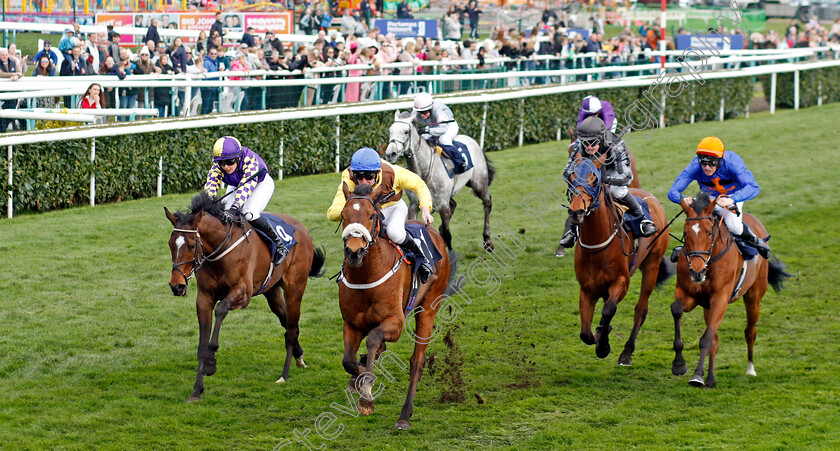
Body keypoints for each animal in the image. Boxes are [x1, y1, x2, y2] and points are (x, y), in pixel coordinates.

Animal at [164, 192, 324, 404]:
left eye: (191, 245)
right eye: (170, 244)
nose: (177, 286)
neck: (220, 249)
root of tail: (302, 228)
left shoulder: (243, 292)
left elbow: (221, 309)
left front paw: (211, 363)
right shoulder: (204, 298)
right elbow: (201, 345)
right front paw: (197, 390)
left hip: (295, 288)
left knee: (291, 328)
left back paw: (284, 374)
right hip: (272, 291)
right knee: (287, 321)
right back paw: (299, 357)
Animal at [338, 182, 452, 430]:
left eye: (371, 215)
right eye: (343, 215)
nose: (354, 252)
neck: (366, 275)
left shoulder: (396, 322)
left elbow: (373, 339)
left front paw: (366, 398)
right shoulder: (351, 323)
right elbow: (349, 361)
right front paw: (358, 377)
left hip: (428, 308)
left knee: (417, 362)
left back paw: (404, 415)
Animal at [386, 109, 496, 251]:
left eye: (406, 131)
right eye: (390, 130)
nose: (390, 153)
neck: (423, 171)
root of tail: (473, 141)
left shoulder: (443, 206)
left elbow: (448, 235)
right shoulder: (414, 206)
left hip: (479, 184)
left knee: (487, 202)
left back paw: (487, 240)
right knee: (453, 204)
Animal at [568, 157, 672, 366]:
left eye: (594, 179)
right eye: (572, 177)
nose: (577, 212)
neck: (597, 248)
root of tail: (651, 197)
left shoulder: (621, 282)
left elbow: (608, 310)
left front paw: (603, 346)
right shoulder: (587, 289)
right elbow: (585, 334)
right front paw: (599, 334)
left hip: (652, 265)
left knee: (641, 309)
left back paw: (626, 352)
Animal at [672, 191, 792, 388]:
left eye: (709, 232)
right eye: (685, 232)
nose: (697, 271)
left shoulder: (720, 299)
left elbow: (706, 339)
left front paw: (697, 375)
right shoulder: (689, 294)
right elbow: (677, 309)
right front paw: (679, 364)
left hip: (754, 297)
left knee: (750, 331)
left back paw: (750, 369)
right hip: (709, 306)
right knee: (715, 338)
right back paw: (711, 378)